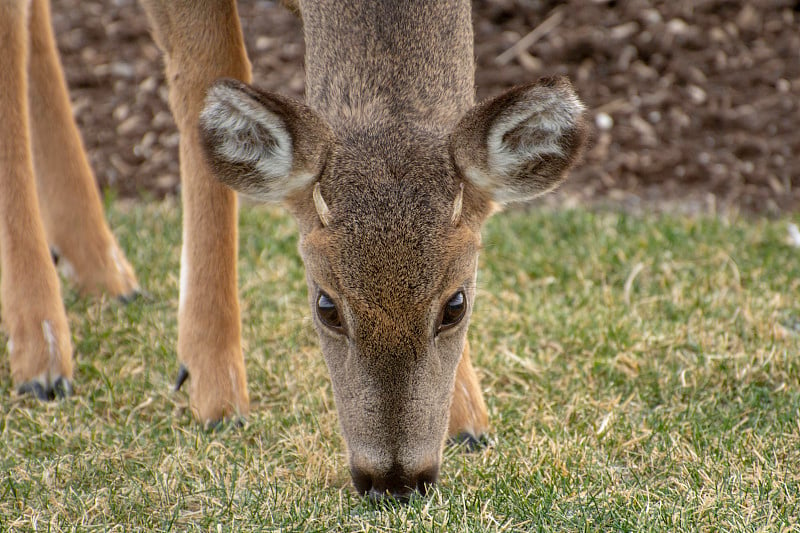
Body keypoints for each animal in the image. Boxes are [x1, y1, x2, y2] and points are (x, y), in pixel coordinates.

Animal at [1, 0, 588, 498]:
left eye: (456, 305)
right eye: (326, 306)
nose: (394, 479)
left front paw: (469, 417)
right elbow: (209, 74)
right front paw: (214, 388)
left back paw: (103, 272)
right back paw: (42, 354)